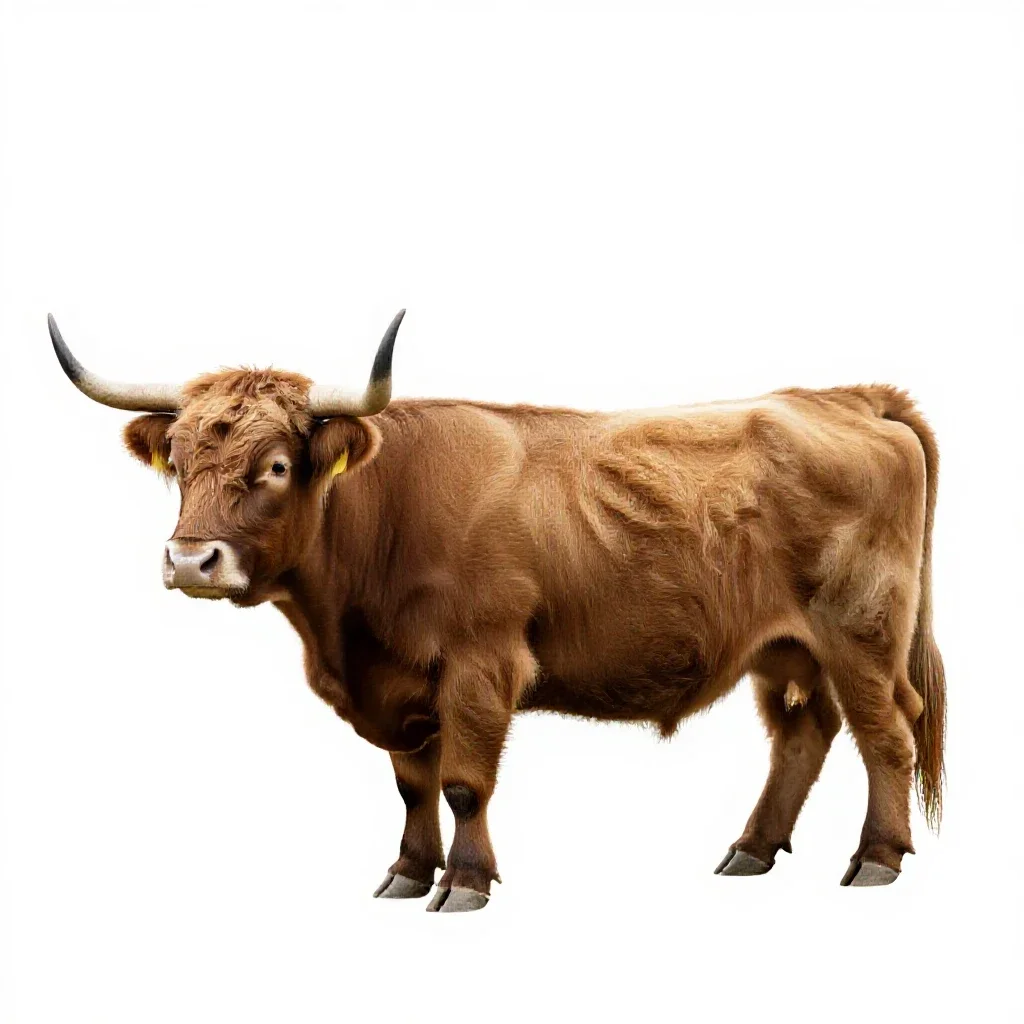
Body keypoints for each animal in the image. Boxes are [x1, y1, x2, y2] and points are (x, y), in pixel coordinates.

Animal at [47, 311, 945, 912]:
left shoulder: (481, 664)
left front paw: (466, 881)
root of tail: (846, 398)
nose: (190, 561)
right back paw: (751, 849)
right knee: (803, 733)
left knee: (887, 733)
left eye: (274, 465)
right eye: (178, 461)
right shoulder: (400, 684)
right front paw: (408, 874)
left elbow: (464, 785)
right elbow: (412, 787)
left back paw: (877, 858)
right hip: (785, 647)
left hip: (860, 631)